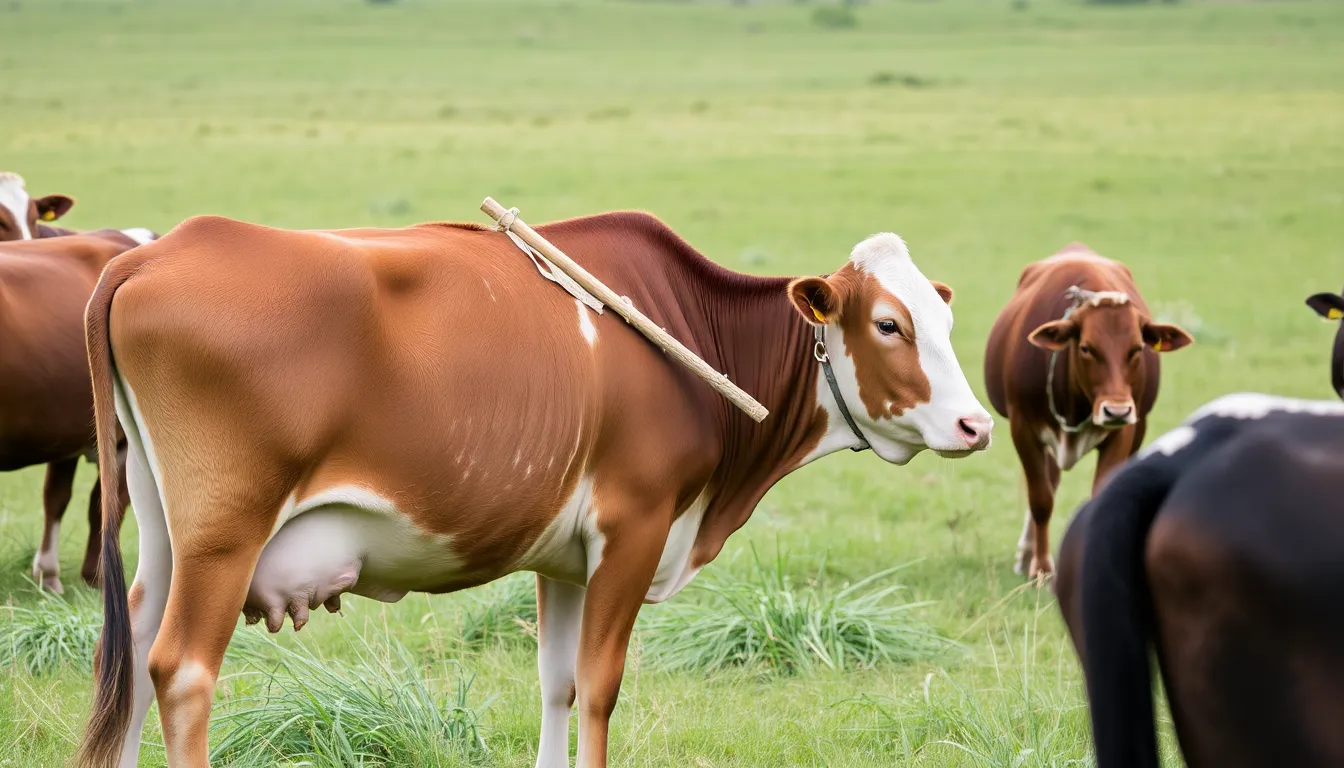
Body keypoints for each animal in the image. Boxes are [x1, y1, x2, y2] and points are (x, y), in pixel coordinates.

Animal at [75, 211, 993, 768]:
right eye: (888, 324)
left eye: (947, 322)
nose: (975, 425)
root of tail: (157, 251)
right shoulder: (633, 527)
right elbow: (600, 685)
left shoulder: (564, 562)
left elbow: (557, 683)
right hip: (227, 534)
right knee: (182, 672)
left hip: (167, 537)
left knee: (131, 658)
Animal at [983, 243, 1192, 579]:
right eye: (1086, 348)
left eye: (1137, 348)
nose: (1116, 410)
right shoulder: (1023, 429)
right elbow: (1040, 499)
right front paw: (1041, 569)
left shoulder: (1123, 433)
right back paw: (1028, 555)